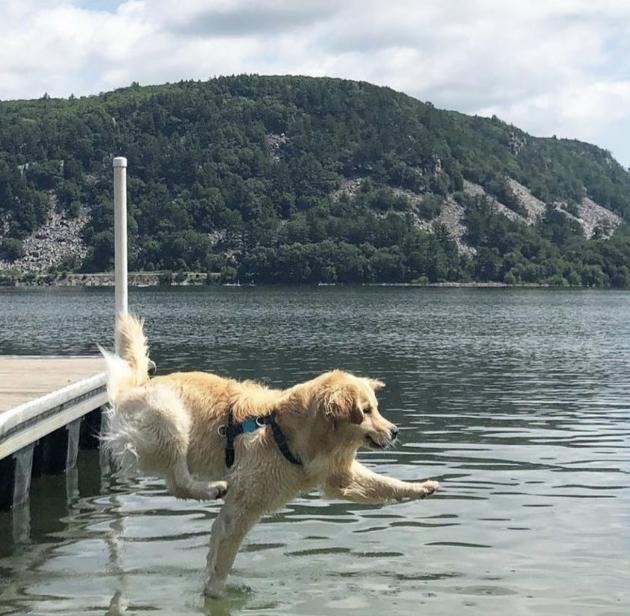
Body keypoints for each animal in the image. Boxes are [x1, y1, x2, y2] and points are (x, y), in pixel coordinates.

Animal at [102, 312, 440, 596]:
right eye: (366, 410)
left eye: (376, 408)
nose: (395, 430)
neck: (287, 435)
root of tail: (133, 387)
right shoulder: (245, 502)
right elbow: (225, 551)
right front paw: (215, 593)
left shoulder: (336, 476)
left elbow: (383, 484)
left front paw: (420, 488)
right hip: (170, 415)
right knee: (178, 480)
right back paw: (211, 488)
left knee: (175, 483)